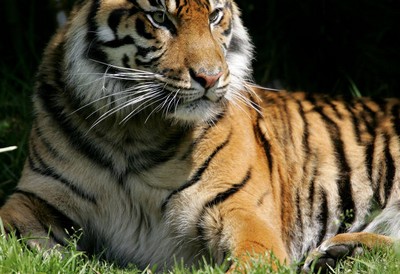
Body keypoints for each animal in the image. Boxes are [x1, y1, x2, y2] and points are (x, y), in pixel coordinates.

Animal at [0, 0, 400, 270]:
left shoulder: (241, 209)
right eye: (159, 17)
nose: (210, 78)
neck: (132, 133)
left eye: (214, 16)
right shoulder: (35, 196)